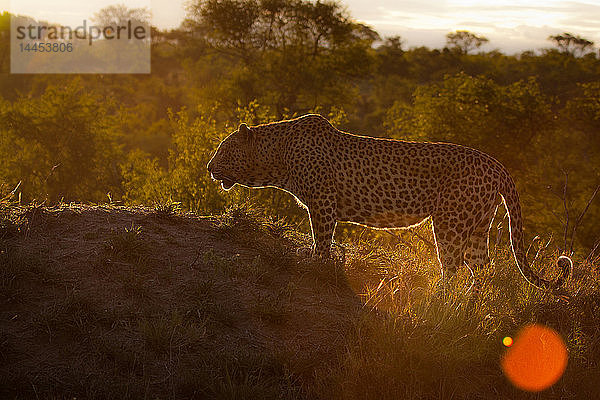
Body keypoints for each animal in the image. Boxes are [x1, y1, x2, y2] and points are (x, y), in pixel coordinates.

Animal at [207, 113, 572, 294]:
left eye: (224, 150)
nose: (209, 168)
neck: (277, 158)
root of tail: (497, 164)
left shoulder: (323, 205)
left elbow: (321, 241)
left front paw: (315, 266)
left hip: (450, 224)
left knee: (451, 266)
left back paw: (439, 300)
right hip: (478, 226)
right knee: (482, 269)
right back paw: (473, 305)